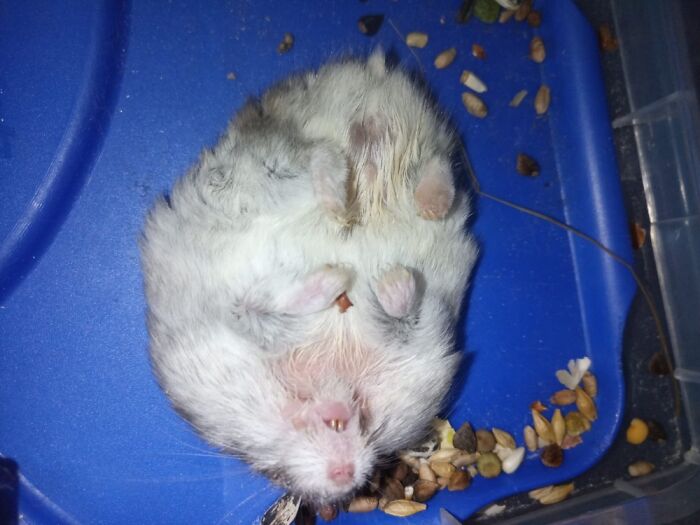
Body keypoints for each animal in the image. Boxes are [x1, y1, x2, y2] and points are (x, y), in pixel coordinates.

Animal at [140, 50, 478, 506]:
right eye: (268, 471)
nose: (344, 475)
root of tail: (370, 74)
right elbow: (257, 309)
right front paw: (363, 279)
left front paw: (368, 279)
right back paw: (362, 246)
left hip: (269, 168)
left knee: (342, 158)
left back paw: (359, 213)